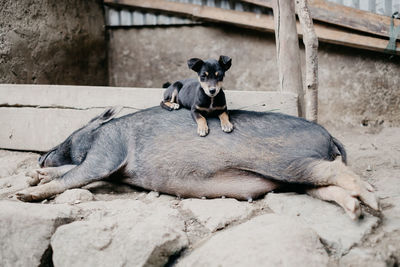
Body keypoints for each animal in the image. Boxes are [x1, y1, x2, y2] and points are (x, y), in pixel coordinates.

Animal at [15, 108, 378, 221]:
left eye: (68, 136)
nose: (39, 156)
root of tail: (329, 135)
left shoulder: (107, 152)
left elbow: (75, 175)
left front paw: (22, 194)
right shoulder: (114, 170)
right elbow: (69, 173)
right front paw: (33, 176)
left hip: (288, 162)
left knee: (336, 171)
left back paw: (373, 202)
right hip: (296, 177)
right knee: (328, 187)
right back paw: (356, 210)